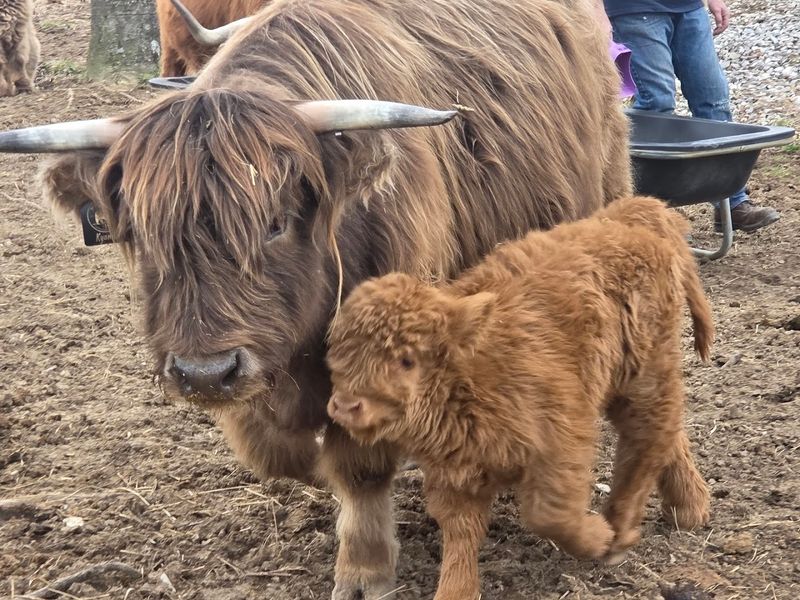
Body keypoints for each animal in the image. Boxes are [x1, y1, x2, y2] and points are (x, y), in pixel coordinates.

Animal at [0, 0, 632, 597]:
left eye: (277, 223)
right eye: (137, 231)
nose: (204, 373)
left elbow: (359, 466)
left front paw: (365, 569)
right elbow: (278, 450)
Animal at [326, 195, 713, 600]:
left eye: (406, 359)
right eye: (337, 353)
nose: (346, 406)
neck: (469, 375)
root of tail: (631, 216)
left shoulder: (563, 442)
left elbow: (550, 514)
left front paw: (597, 538)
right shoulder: (454, 474)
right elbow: (461, 533)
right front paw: (456, 590)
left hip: (643, 375)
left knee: (648, 440)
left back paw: (624, 530)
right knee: (666, 433)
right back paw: (686, 507)